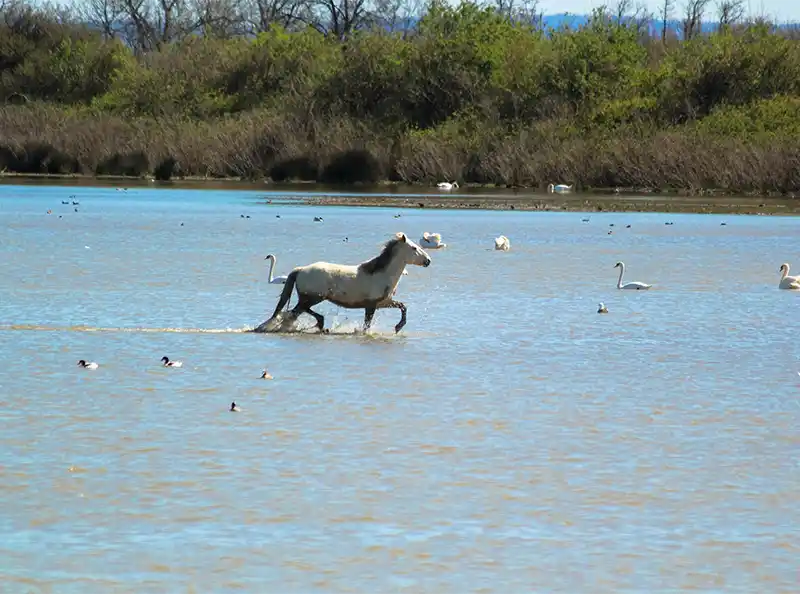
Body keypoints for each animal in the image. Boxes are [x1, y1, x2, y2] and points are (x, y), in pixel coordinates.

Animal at [256, 232, 431, 334]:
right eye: (414, 248)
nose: (428, 261)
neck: (380, 274)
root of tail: (300, 270)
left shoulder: (384, 302)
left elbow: (403, 306)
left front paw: (398, 327)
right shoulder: (371, 305)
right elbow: (367, 324)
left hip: (310, 297)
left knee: (295, 312)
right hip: (313, 297)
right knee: (296, 311)